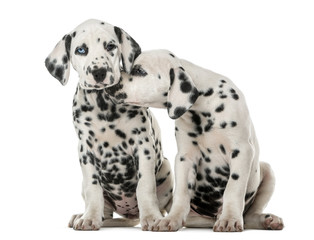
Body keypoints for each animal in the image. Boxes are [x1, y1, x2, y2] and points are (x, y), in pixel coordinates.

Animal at [44, 21, 173, 232]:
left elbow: (145, 186)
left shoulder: (143, 146)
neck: (103, 106)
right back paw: (83, 216)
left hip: (166, 169)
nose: (99, 72)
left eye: (111, 46)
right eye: (81, 50)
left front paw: (151, 217)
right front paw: (90, 218)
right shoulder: (85, 151)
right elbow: (93, 188)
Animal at [106, 49, 284, 232]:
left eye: (139, 71)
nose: (110, 81)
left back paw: (266, 220)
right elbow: (182, 193)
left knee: (250, 216)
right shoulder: (185, 157)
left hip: (267, 170)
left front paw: (229, 219)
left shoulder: (241, 151)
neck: (204, 109)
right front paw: (172, 219)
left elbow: (233, 189)